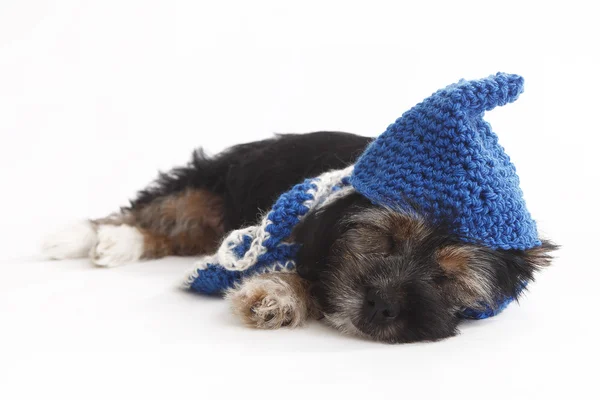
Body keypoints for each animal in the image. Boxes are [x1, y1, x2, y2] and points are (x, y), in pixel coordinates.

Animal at [43, 132, 556, 344]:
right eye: (384, 240)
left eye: (445, 279)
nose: (382, 306)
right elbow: (304, 269)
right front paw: (274, 295)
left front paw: (277, 297)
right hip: (214, 186)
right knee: (162, 208)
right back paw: (88, 238)